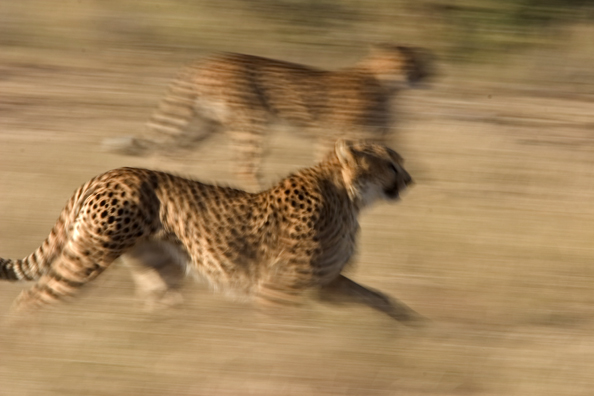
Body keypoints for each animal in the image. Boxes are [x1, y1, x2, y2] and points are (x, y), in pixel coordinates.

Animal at [3, 141, 420, 324]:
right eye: (389, 163)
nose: (410, 178)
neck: (348, 195)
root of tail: (108, 173)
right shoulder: (278, 288)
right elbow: (278, 331)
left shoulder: (326, 282)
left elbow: (377, 297)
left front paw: (410, 326)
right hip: (89, 255)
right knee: (33, 298)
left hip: (159, 270)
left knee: (161, 306)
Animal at [104, 44, 430, 189]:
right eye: (409, 64)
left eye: (422, 63)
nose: (426, 75)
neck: (384, 82)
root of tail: (206, 59)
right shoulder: (331, 135)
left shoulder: (380, 134)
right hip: (251, 121)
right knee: (243, 168)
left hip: (205, 123)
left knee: (167, 151)